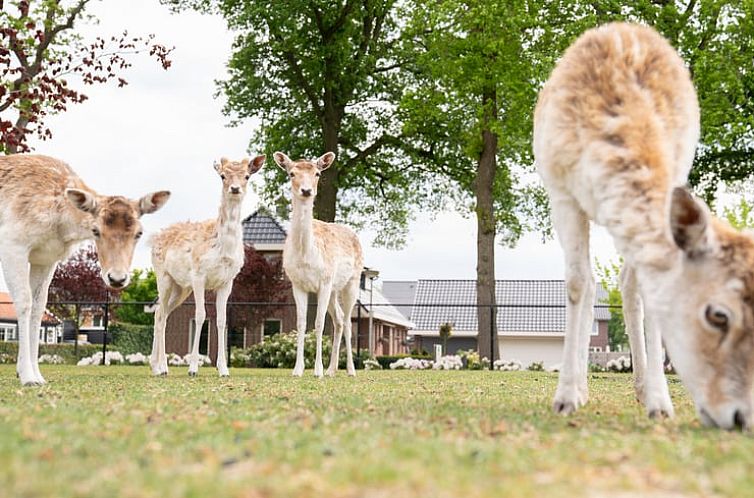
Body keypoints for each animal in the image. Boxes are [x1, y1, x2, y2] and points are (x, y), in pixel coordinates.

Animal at [0, 155, 170, 386]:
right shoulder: (12, 243)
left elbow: (38, 308)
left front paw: (37, 375)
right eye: (95, 230)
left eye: (139, 233)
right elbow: (24, 302)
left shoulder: (45, 258)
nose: (117, 278)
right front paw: (27, 377)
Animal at [149, 156, 264, 378]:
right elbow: (200, 315)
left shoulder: (227, 281)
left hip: (181, 288)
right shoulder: (198, 275)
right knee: (160, 315)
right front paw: (193, 368)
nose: (235, 188)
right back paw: (161, 368)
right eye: (223, 176)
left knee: (162, 313)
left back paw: (157, 367)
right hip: (163, 277)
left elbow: (221, 320)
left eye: (247, 175)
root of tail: (152, 239)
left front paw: (224, 369)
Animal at [272, 152, 362, 378]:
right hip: (333, 290)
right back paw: (332, 370)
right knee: (338, 319)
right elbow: (301, 323)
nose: (306, 190)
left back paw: (350, 370)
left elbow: (319, 323)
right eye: (291, 173)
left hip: (351, 282)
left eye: (317, 173)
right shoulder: (297, 284)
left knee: (347, 322)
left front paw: (317, 370)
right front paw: (297, 370)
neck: (307, 255)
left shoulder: (324, 281)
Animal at [532, 21, 752, 430]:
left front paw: (660, 403)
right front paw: (565, 397)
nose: (739, 416)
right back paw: (582, 388)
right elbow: (576, 284)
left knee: (627, 284)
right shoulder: (563, 195)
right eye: (718, 314)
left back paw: (639, 388)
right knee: (590, 284)